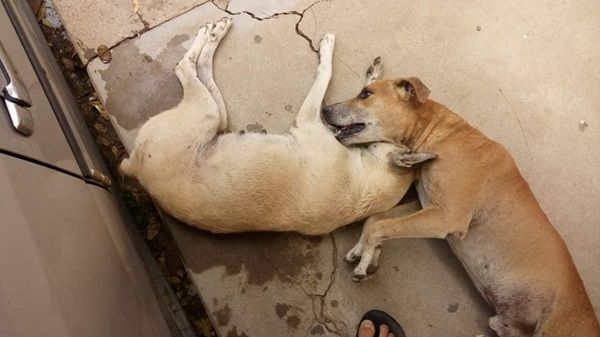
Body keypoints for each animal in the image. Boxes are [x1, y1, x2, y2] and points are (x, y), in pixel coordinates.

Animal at [119, 17, 434, 235]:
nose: (327, 112)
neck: (364, 188)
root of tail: (134, 166)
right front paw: (373, 72)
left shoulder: (309, 119)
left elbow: (325, 72)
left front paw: (327, 50)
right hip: (214, 115)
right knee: (197, 69)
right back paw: (216, 30)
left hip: (206, 113)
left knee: (186, 68)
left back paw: (211, 34)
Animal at [324, 73, 600, 336]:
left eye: (366, 93)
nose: (325, 110)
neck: (440, 135)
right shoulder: (428, 206)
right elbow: (376, 220)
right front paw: (363, 250)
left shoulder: (447, 217)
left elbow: (378, 226)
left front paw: (363, 262)